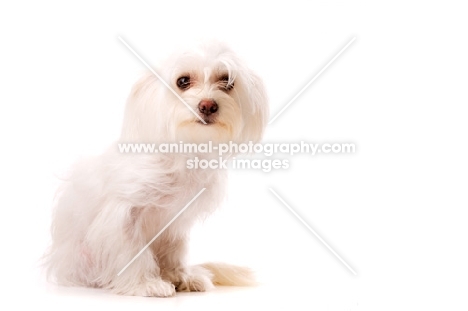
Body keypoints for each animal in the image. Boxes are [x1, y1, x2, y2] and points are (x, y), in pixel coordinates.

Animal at [44, 40, 270, 298]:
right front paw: (145, 283)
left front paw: (179, 276)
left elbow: (174, 251)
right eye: (183, 81)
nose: (208, 105)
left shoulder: (175, 222)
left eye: (228, 82)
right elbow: (131, 253)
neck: (182, 152)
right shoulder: (123, 216)